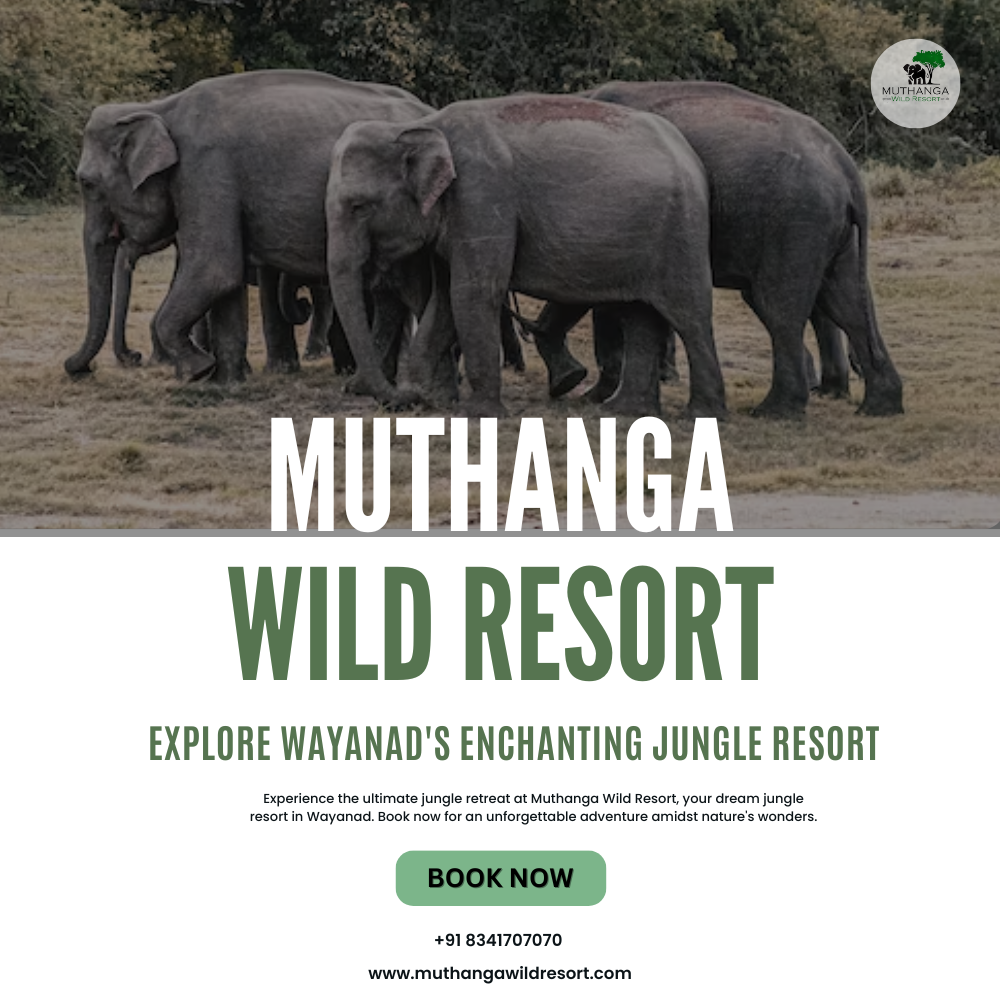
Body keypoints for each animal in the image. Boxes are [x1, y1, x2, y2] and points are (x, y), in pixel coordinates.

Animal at [68, 69, 432, 386]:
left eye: (87, 183)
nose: (82, 370)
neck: (159, 107)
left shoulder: (205, 170)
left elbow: (214, 268)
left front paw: (198, 370)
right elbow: (225, 279)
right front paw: (224, 383)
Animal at [328, 94, 728, 418]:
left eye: (360, 207)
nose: (392, 399)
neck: (425, 126)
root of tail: (691, 156)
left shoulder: (483, 195)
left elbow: (472, 292)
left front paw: (476, 414)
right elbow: (443, 300)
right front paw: (423, 398)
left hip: (682, 232)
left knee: (689, 316)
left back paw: (702, 416)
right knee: (639, 316)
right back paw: (625, 412)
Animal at [528, 80, 904, 418]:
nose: (562, 387)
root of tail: (845, 166)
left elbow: (605, 300)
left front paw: (592, 396)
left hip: (796, 220)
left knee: (780, 306)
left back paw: (774, 411)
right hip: (829, 230)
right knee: (846, 303)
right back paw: (876, 407)